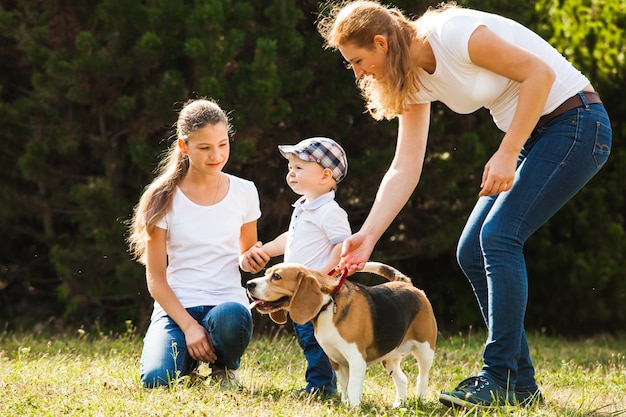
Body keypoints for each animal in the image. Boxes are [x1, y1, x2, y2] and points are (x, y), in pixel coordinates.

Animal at [244, 262, 434, 404]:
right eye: (266, 273)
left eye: (276, 277)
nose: (248, 284)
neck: (328, 303)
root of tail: (406, 283)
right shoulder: (336, 360)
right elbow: (345, 386)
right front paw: (345, 404)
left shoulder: (356, 360)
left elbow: (353, 387)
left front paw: (354, 408)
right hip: (389, 357)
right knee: (402, 379)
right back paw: (399, 405)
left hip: (425, 351)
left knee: (422, 378)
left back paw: (421, 400)